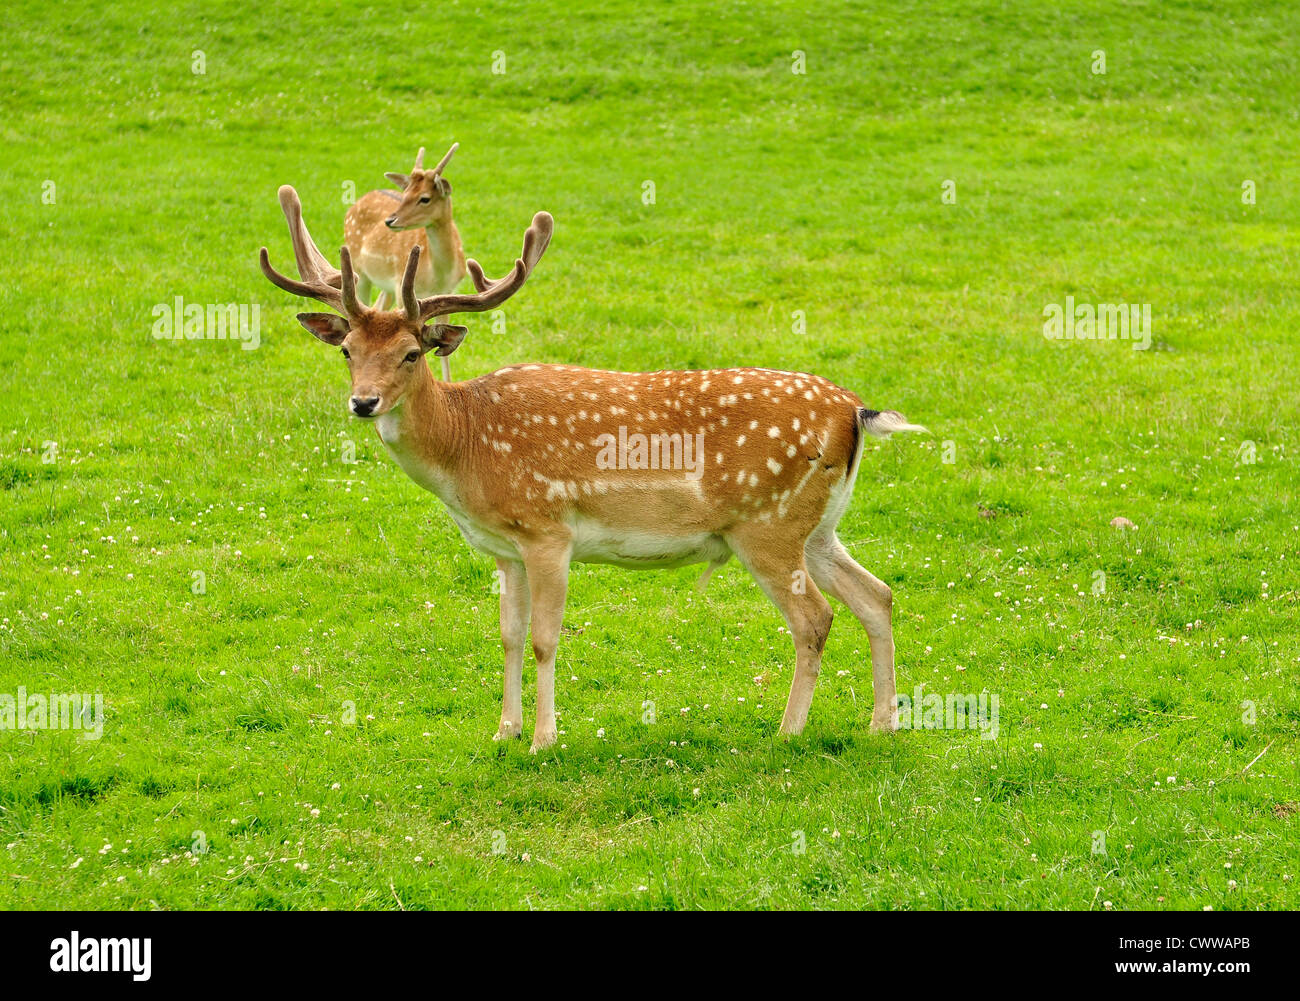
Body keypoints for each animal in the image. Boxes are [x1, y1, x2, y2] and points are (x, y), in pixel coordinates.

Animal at [258, 184, 925, 748]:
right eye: (348, 350)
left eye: (410, 353)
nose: (363, 402)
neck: (467, 451)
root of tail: (855, 411)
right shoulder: (504, 548)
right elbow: (506, 635)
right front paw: (503, 732)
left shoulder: (548, 529)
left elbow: (544, 639)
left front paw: (543, 739)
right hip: (818, 526)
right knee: (878, 596)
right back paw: (881, 724)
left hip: (769, 526)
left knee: (815, 618)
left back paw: (788, 732)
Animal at [345, 146, 467, 379]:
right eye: (405, 194)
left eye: (425, 198)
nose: (390, 220)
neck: (437, 274)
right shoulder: (404, 290)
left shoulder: (448, 291)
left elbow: (445, 353)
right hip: (360, 270)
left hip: (388, 286)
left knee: (377, 305)